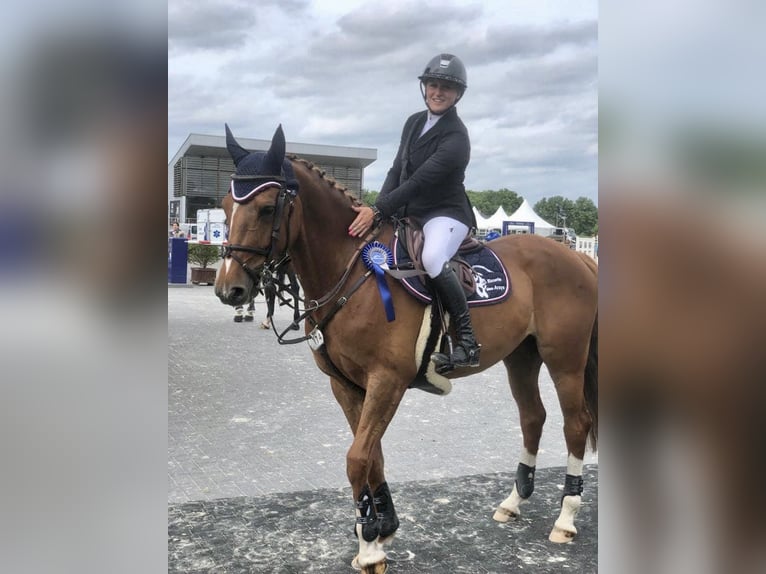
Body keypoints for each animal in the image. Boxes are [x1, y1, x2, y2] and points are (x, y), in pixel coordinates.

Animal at [214, 124, 598, 573]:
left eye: (266, 207)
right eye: (225, 205)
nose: (229, 289)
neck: (353, 271)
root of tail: (573, 255)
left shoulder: (387, 382)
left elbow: (357, 458)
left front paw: (369, 546)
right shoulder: (347, 385)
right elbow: (371, 455)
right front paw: (382, 528)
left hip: (564, 359)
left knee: (576, 423)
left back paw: (566, 518)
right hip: (521, 358)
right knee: (532, 417)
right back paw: (513, 502)